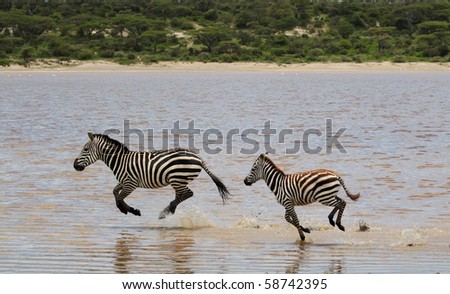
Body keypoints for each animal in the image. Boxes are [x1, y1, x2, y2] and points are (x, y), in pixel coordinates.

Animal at [74, 132, 230, 219]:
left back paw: (167, 211)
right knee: (182, 195)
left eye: (85, 149)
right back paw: (169, 210)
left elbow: (119, 197)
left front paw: (130, 210)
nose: (75, 166)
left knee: (187, 194)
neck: (120, 161)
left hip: (177, 179)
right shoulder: (124, 181)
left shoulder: (130, 184)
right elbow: (114, 192)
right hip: (179, 181)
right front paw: (128, 209)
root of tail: (199, 158)